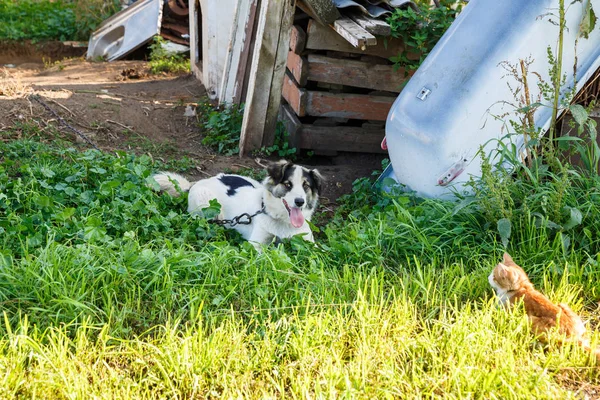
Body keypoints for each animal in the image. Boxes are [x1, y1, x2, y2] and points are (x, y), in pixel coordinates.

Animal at [155, 160, 324, 248]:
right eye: (288, 184)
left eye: (306, 186)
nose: (300, 202)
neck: (283, 222)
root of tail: (195, 183)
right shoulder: (256, 244)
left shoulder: (310, 245)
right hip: (207, 204)